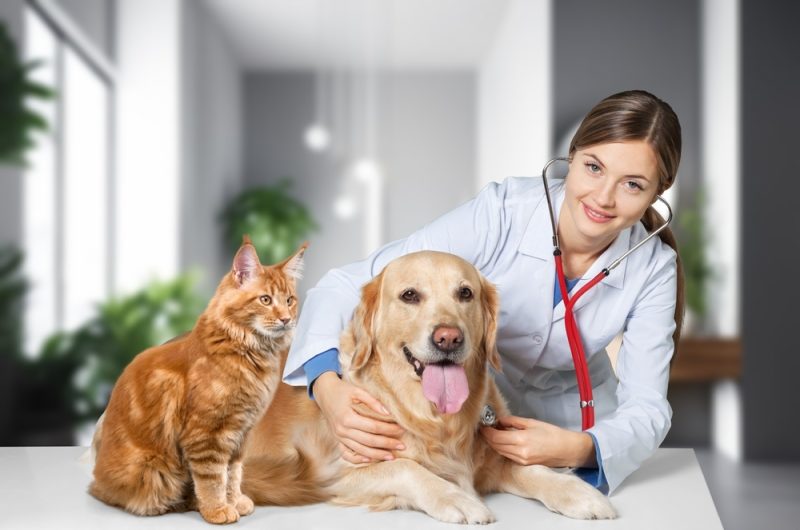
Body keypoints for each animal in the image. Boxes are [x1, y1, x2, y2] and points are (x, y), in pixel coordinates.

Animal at [90, 237, 306, 520]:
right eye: (266, 299)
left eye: (290, 300)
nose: (286, 319)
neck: (247, 351)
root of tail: (96, 477)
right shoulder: (207, 434)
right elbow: (213, 479)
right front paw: (217, 509)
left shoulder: (240, 433)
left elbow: (233, 474)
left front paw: (234, 501)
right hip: (155, 471)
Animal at [241, 251, 616, 520]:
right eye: (409, 295)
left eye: (465, 293)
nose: (448, 338)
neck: (435, 420)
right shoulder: (330, 474)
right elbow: (408, 468)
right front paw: (457, 498)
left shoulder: (491, 455)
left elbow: (530, 467)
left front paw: (576, 491)